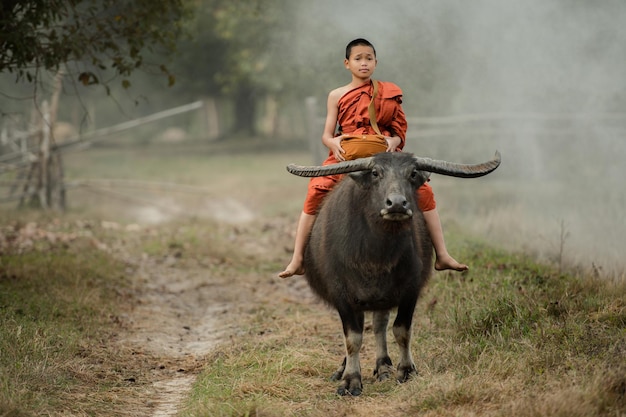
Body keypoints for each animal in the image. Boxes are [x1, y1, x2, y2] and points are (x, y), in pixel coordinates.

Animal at [286, 151, 498, 394]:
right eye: (375, 173)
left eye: (413, 173)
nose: (396, 203)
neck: (376, 256)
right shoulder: (341, 295)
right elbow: (352, 338)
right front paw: (350, 380)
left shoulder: (410, 290)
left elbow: (401, 330)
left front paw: (406, 370)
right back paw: (344, 368)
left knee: (380, 325)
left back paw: (383, 367)